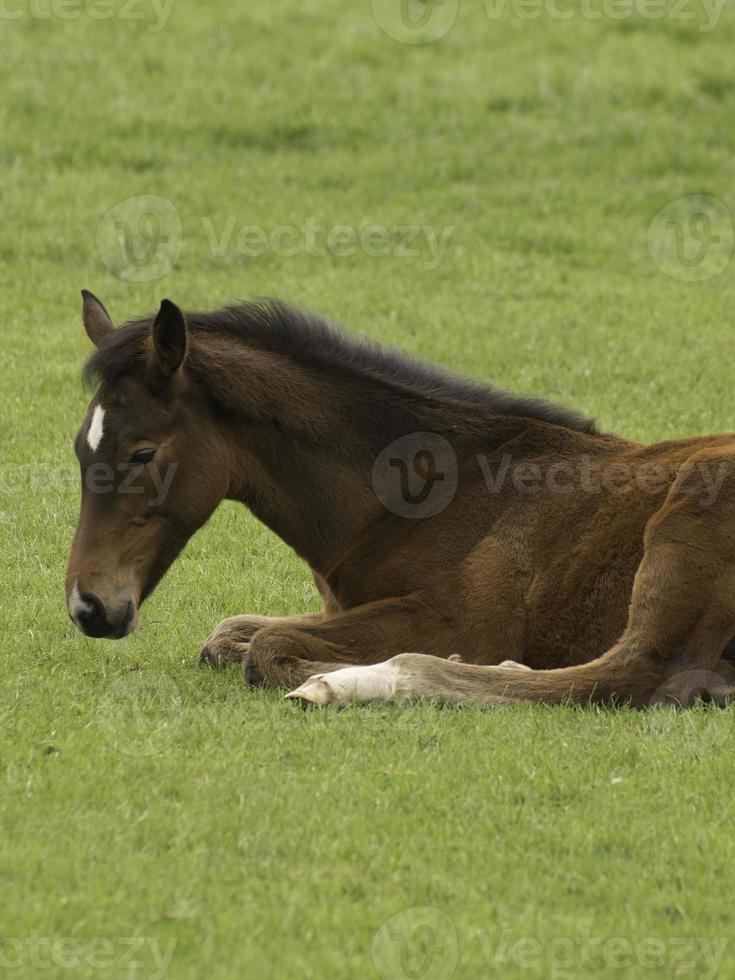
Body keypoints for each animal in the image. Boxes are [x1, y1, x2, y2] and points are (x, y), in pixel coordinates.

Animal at [64, 288, 735, 708]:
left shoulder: (458, 618)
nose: (88, 607)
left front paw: (334, 674)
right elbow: (229, 634)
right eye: (79, 449)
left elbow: (266, 648)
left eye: (142, 453)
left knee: (629, 674)